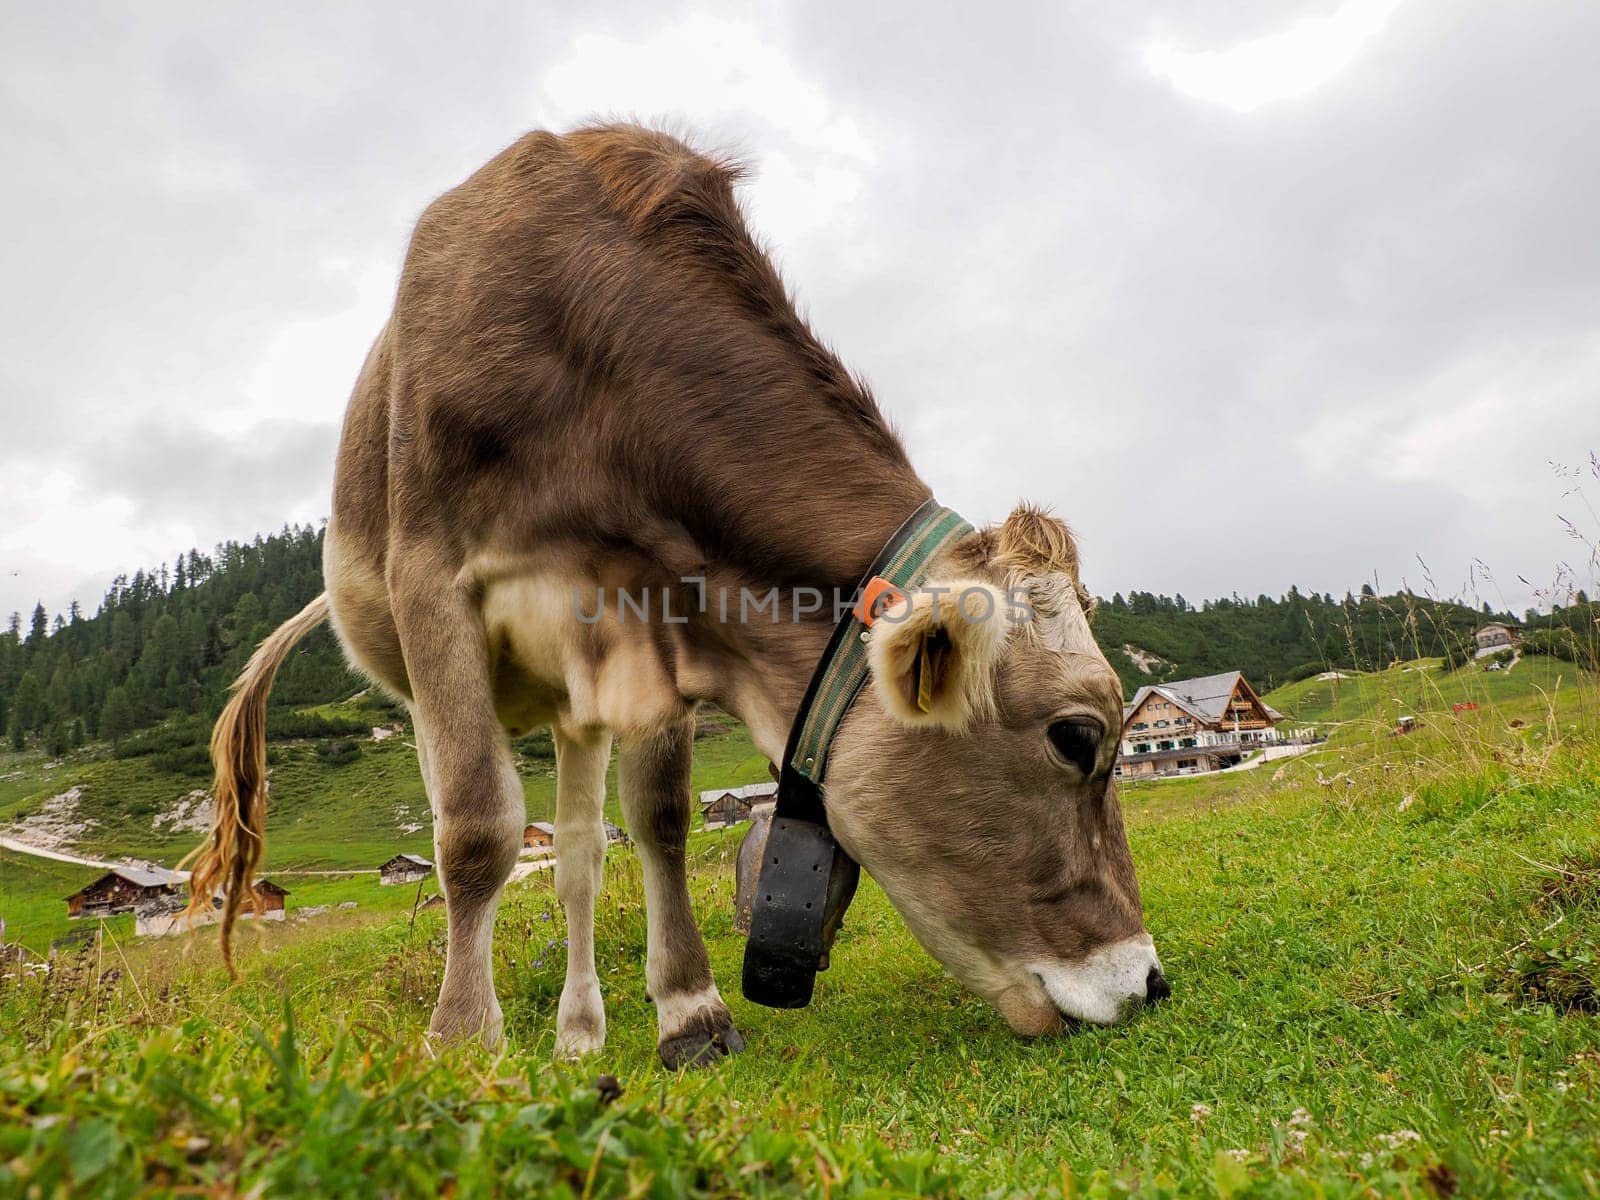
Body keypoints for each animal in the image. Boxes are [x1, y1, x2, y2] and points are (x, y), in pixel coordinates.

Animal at [184, 124, 1164, 1068]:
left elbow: (658, 822)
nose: (1149, 982)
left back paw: (580, 1032)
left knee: (579, 859)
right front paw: (460, 1041)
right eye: (1078, 739)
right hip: (426, 679)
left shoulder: (657, 618)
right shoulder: (435, 583)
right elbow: (475, 831)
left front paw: (690, 1012)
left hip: (575, 708)